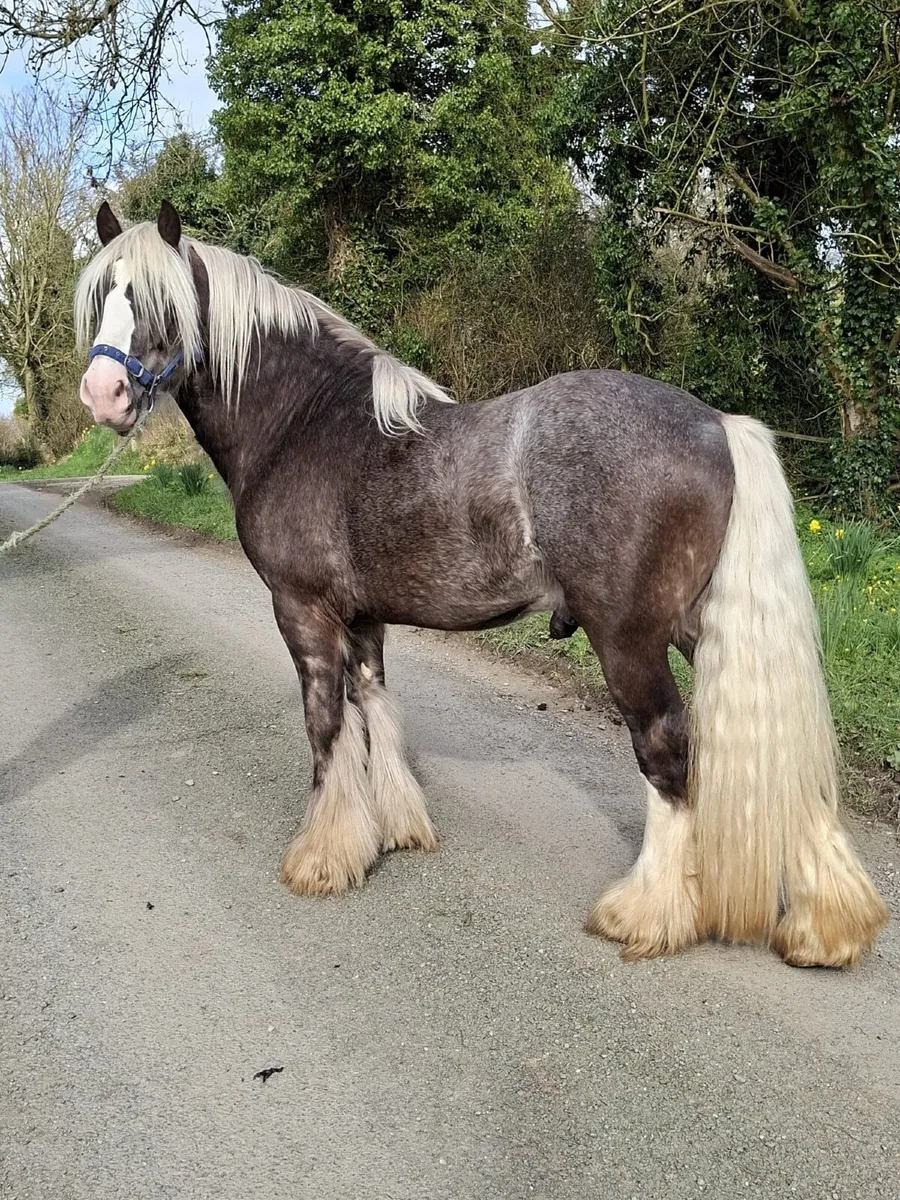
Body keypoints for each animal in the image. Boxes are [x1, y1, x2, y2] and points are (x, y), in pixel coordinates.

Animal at [76, 200, 888, 967]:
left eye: (156, 299)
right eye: (104, 295)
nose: (103, 392)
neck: (306, 422)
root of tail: (717, 423)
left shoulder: (302, 611)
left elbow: (326, 727)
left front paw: (321, 857)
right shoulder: (363, 619)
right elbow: (374, 710)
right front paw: (394, 830)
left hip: (630, 640)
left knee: (666, 750)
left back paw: (646, 913)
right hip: (700, 624)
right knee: (784, 757)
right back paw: (826, 927)